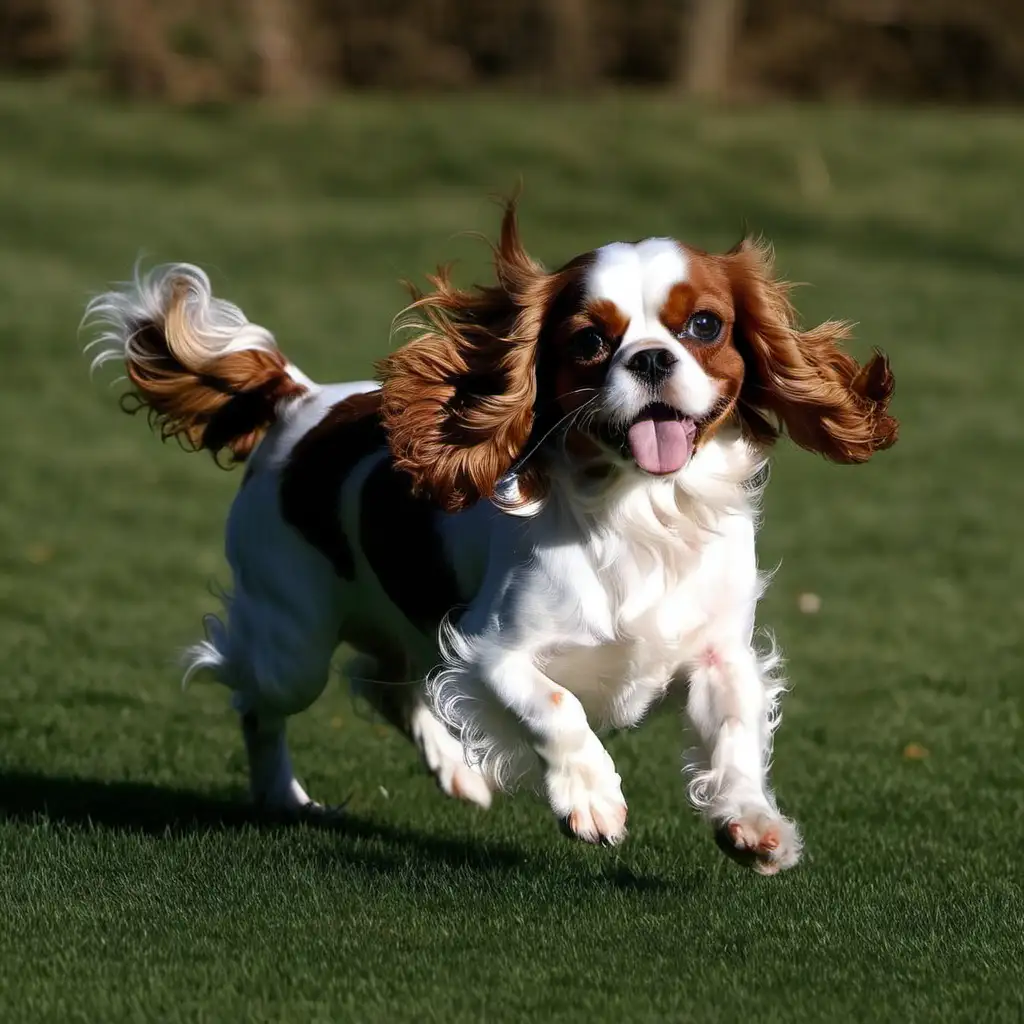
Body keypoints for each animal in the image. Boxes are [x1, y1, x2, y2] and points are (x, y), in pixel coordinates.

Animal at [86, 203, 897, 876]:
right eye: (590, 341)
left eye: (704, 327)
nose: (650, 358)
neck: (640, 511)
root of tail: (299, 399)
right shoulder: (489, 648)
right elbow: (555, 707)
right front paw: (591, 800)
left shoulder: (716, 653)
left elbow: (733, 735)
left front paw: (753, 826)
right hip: (295, 644)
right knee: (264, 698)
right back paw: (283, 796)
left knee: (384, 683)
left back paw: (458, 770)